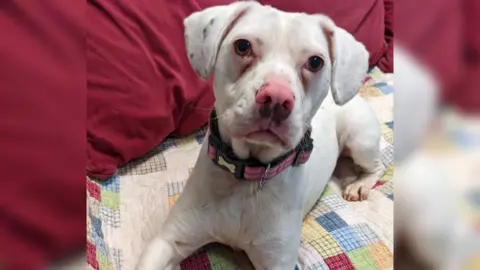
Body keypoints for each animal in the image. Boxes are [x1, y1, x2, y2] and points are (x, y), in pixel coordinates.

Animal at [138, 2, 382, 270]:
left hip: (359, 141)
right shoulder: (170, 240)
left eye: (316, 61)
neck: (247, 173)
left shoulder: (277, 261)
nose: (276, 98)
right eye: (243, 46)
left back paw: (359, 185)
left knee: (378, 166)